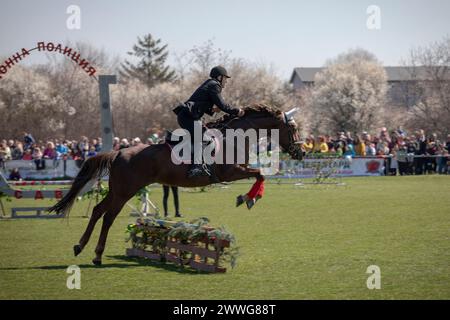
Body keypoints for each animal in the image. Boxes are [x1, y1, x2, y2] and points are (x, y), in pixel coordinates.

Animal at [48, 103, 302, 264]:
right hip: (124, 192)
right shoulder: (231, 173)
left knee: (98, 211)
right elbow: (260, 174)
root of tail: (118, 152)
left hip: (117, 190)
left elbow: (260, 175)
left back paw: (80, 246)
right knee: (108, 217)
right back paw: (97, 255)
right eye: (293, 128)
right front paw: (249, 198)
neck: (235, 137)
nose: (300, 153)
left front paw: (249, 197)